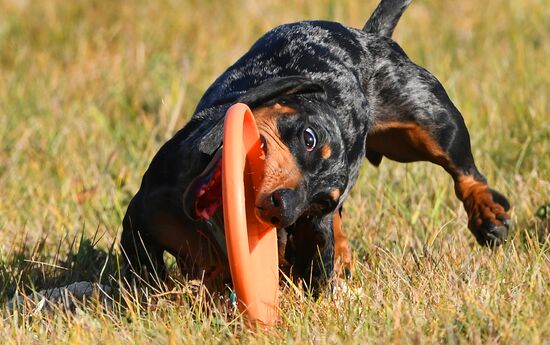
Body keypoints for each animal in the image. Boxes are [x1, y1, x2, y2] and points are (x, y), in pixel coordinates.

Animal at [121, 0, 512, 292]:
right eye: (309, 138)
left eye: (316, 204)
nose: (283, 206)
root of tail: (370, 37)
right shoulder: (140, 216)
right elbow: (141, 270)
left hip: (433, 122)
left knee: (466, 171)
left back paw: (488, 216)